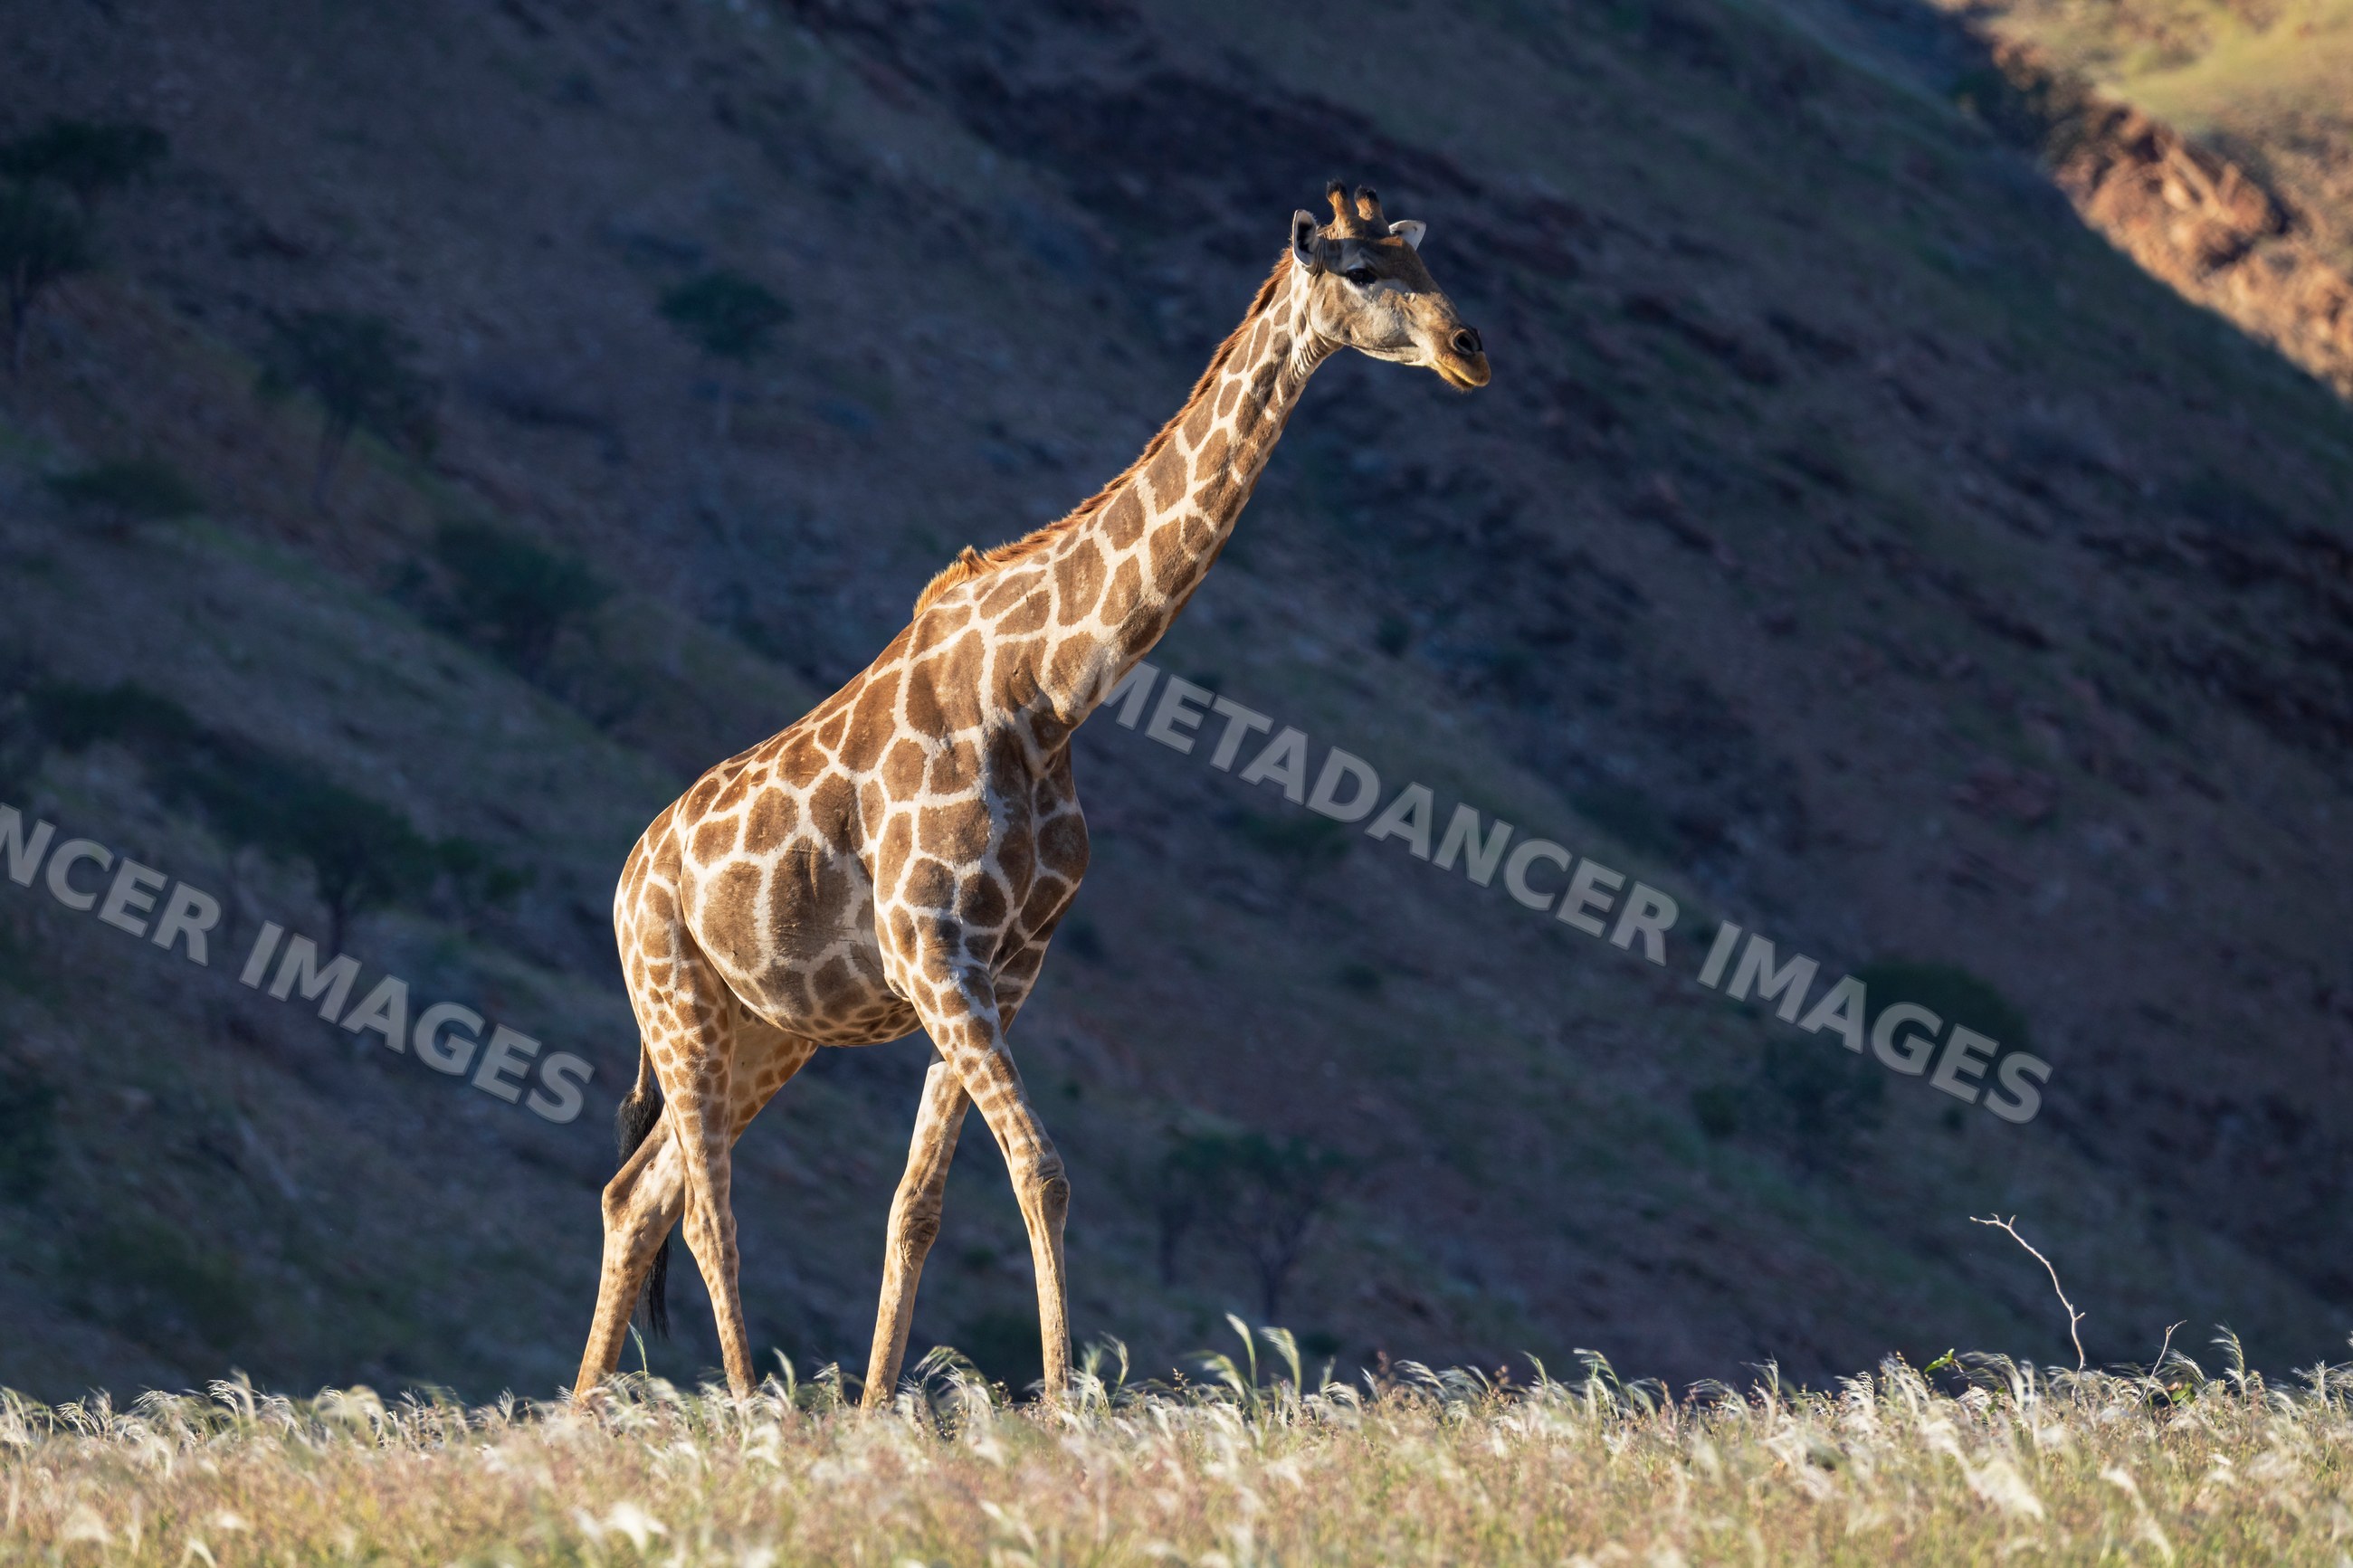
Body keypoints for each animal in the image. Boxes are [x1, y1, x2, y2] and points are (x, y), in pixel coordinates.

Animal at [571, 182, 1490, 1405]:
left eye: (1417, 259)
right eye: (1358, 269)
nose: (1468, 348)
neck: (1047, 691)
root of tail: (629, 876)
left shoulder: (1003, 967)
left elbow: (919, 1203)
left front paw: (883, 1409)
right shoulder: (931, 949)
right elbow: (1038, 1164)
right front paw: (1058, 1402)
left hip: (766, 1024)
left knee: (640, 1192)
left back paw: (578, 1417)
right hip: (675, 998)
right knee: (708, 1208)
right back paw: (752, 1403)